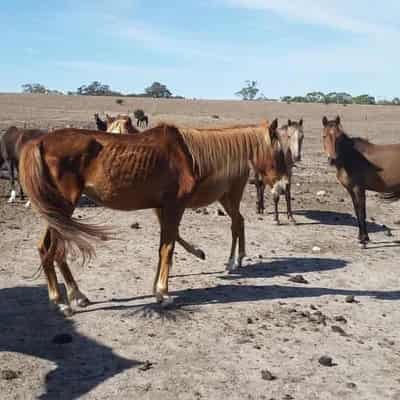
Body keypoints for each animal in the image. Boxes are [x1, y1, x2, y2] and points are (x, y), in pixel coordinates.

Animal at [18, 120, 288, 314]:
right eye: (279, 153)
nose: (283, 187)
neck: (189, 154)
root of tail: (38, 143)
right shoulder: (174, 207)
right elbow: (168, 249)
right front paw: (163, 293)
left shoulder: (164, 208)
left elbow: (163, 247)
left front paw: (157, 288)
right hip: (62, 208)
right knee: (54, 250)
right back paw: (65, 301)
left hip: (57, 211)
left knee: (47, 249)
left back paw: (71, 297)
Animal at [320, 115, 400, 247]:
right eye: (324, 136)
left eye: (339, 137)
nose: (332, 159)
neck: (351, 158)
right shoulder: (350, 190)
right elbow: (357, 211)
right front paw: (360, 237)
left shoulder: (359, 188)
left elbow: (362, 213)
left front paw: (364, 239)